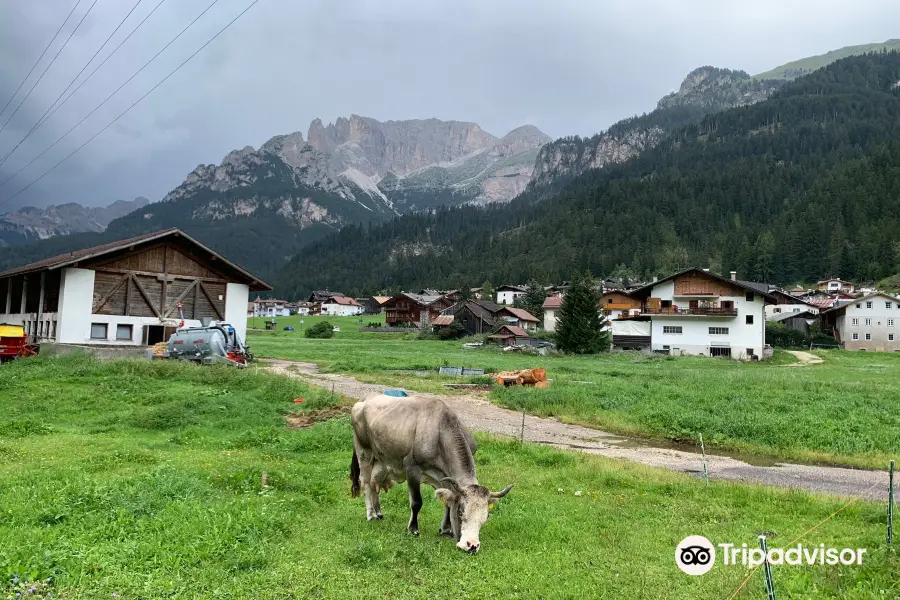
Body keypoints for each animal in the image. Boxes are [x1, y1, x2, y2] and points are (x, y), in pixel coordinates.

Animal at [350, 394, 510, 552]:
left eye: (486, 516)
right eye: (460, 511)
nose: (472, 545)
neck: (441, 431)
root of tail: (366, 398)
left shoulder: (445, 478)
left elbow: (447, 503)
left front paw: (445, 530)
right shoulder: (412, 468)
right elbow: (416, 502)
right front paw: (413, 529)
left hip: (381, 460)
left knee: (374, 484)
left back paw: (378, 513)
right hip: (364, 453)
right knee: (366, 483)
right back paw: (371, 514)